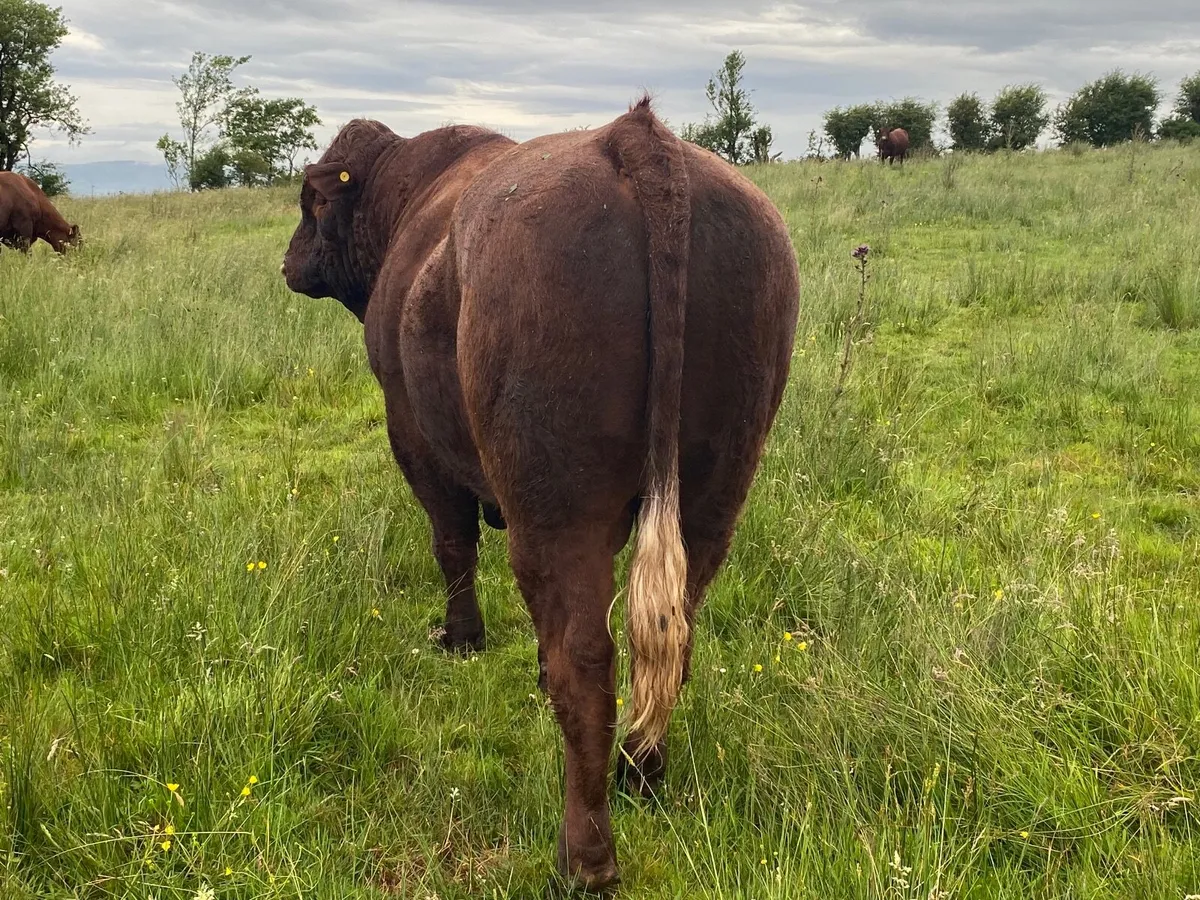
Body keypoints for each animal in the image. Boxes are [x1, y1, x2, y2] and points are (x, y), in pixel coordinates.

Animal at [282, 97, 799, 890]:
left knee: (584, 660)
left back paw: (585, 858)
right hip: (715, 493)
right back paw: (639, 775)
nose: (288, 262)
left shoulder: (413, 436)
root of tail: (634, 137)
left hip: (555, 507)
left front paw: (461, 638)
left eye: (311, 201)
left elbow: (452, 544)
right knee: (670, 635)